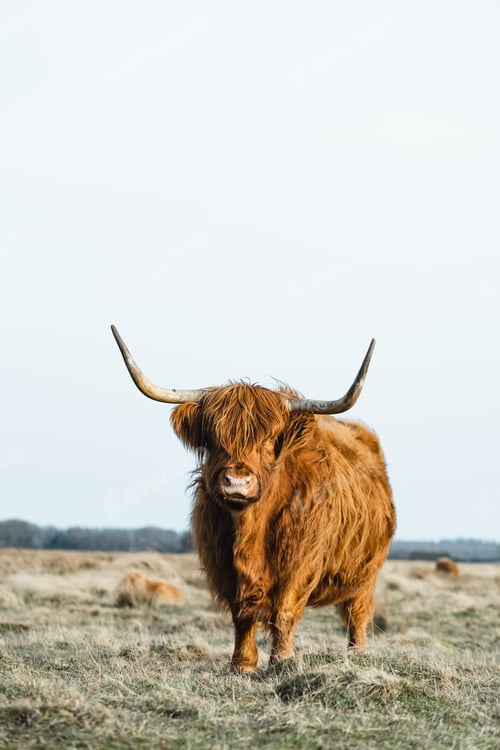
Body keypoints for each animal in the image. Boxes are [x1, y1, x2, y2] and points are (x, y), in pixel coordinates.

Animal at [111, 325, 396, 673]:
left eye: (269, 440)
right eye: (213, 439)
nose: (237, 482)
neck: (250, 530)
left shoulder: (299, 562)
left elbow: (285, 611)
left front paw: (282, 661)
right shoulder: (224, 564)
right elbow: (242, 613)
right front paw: (242, 664)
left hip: (367, 571)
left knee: (357, 612)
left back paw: (358, 653)